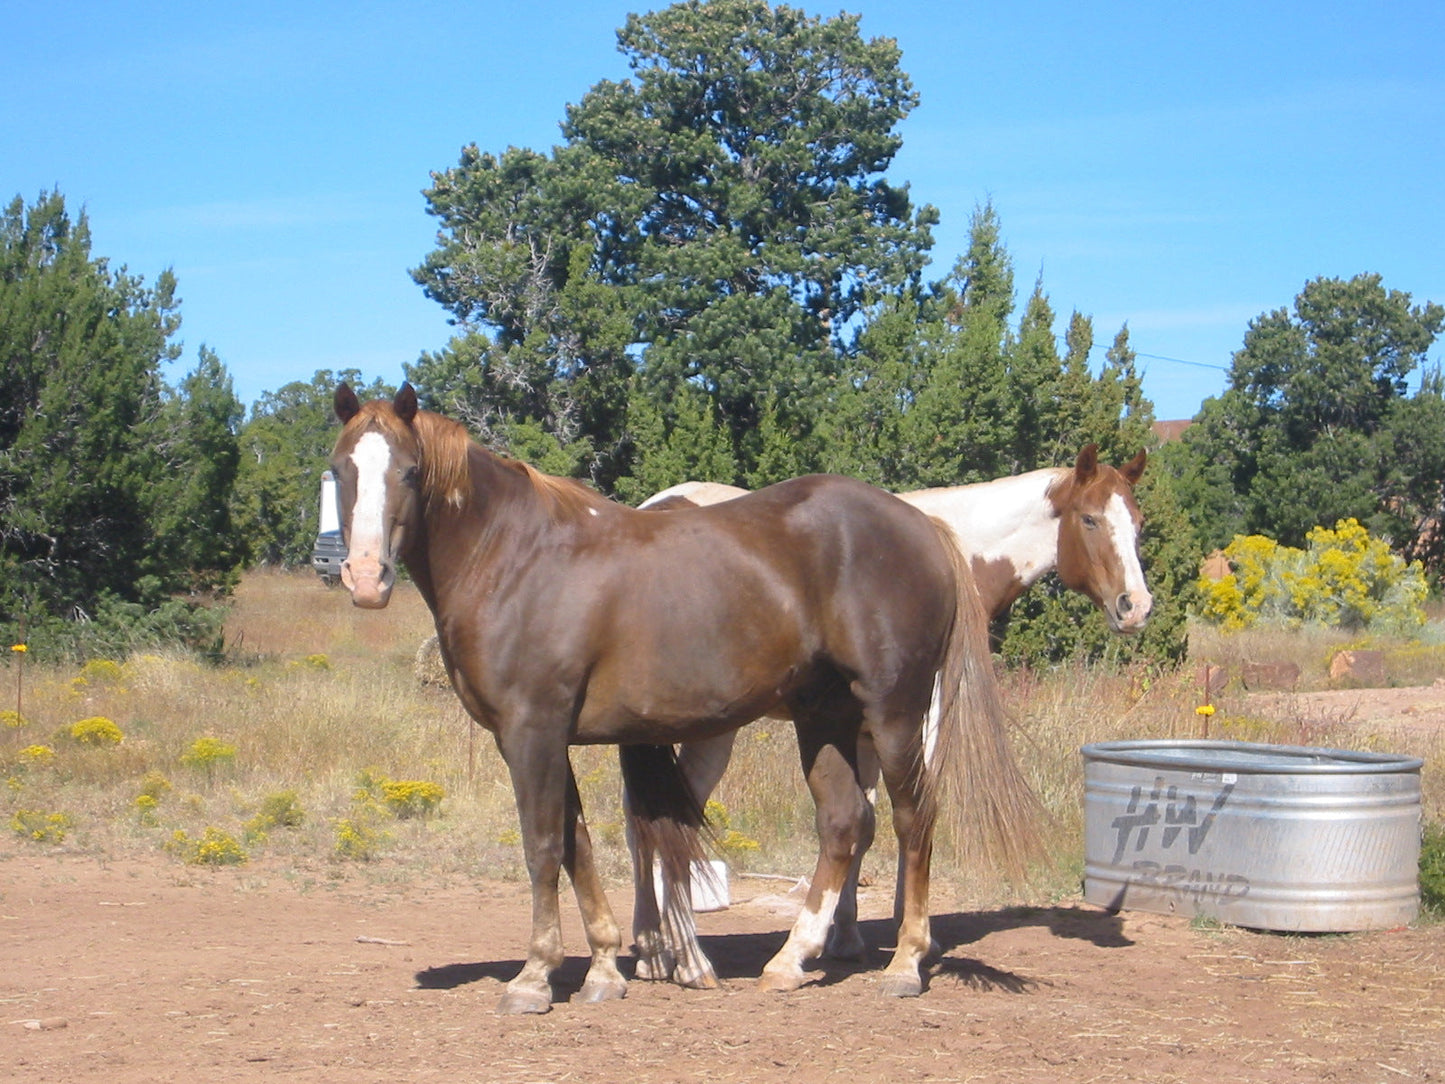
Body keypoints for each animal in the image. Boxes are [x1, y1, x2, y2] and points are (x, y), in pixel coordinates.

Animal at [332, 387, 1046, 1017]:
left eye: (409, 470)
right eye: (340, 470)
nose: (366, 580)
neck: (517, 558)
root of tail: (923, 525)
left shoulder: (529, 732)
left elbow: (542, 846)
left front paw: (534, 978)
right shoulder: (550, 737)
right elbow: (577, 844)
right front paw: (604, 970)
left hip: (894, 714)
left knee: (911, 819)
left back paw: (904, 964)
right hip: (825, 717)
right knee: (844, 823)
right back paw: (789, 962)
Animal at [632, 445, 1150, 988]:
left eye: (1138, 524)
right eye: (1089, 519)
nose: (1136, 607)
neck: (953, 550)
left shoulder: (861, 731)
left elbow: (863, 823)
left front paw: (845, 935)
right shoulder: (920, 718)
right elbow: (908, 814)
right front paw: (911, 938)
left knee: (641, 821)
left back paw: (652, 949)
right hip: (713, 734)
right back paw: (684, 954)